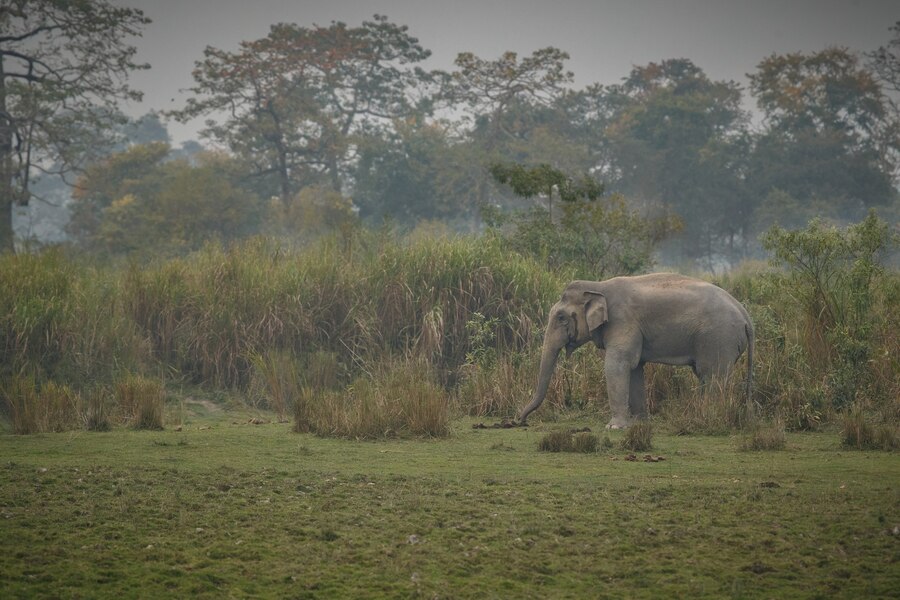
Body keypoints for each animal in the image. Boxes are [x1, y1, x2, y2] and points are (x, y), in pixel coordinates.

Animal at [516, 274, 756, 428]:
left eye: (561, 317)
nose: (520, 420)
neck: (598, 286)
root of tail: (746, 315)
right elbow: (635, 369)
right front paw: (639, 424)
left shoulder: (623, 321)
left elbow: (617, 365)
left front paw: (614, 428)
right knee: (707, 377)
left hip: (719, 338)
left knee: (713, 375)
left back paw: (710, 418)